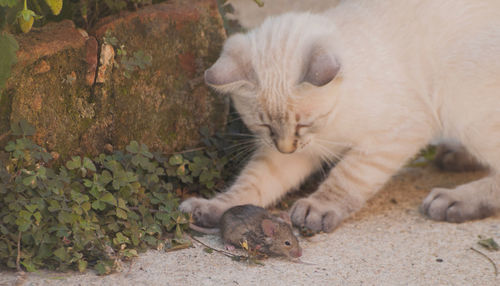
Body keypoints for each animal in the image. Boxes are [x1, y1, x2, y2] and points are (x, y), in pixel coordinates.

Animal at [182, 0, 500, 232]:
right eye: (263, 125)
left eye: (303, 123)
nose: (286, 148)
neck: (331, 123)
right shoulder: (297, 152)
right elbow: (252, 184)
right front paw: (211, 207)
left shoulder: (392, 137)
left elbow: (345, 178)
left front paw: (316, 209)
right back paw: (456, 157)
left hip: (465, 109)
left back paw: (452, 199)